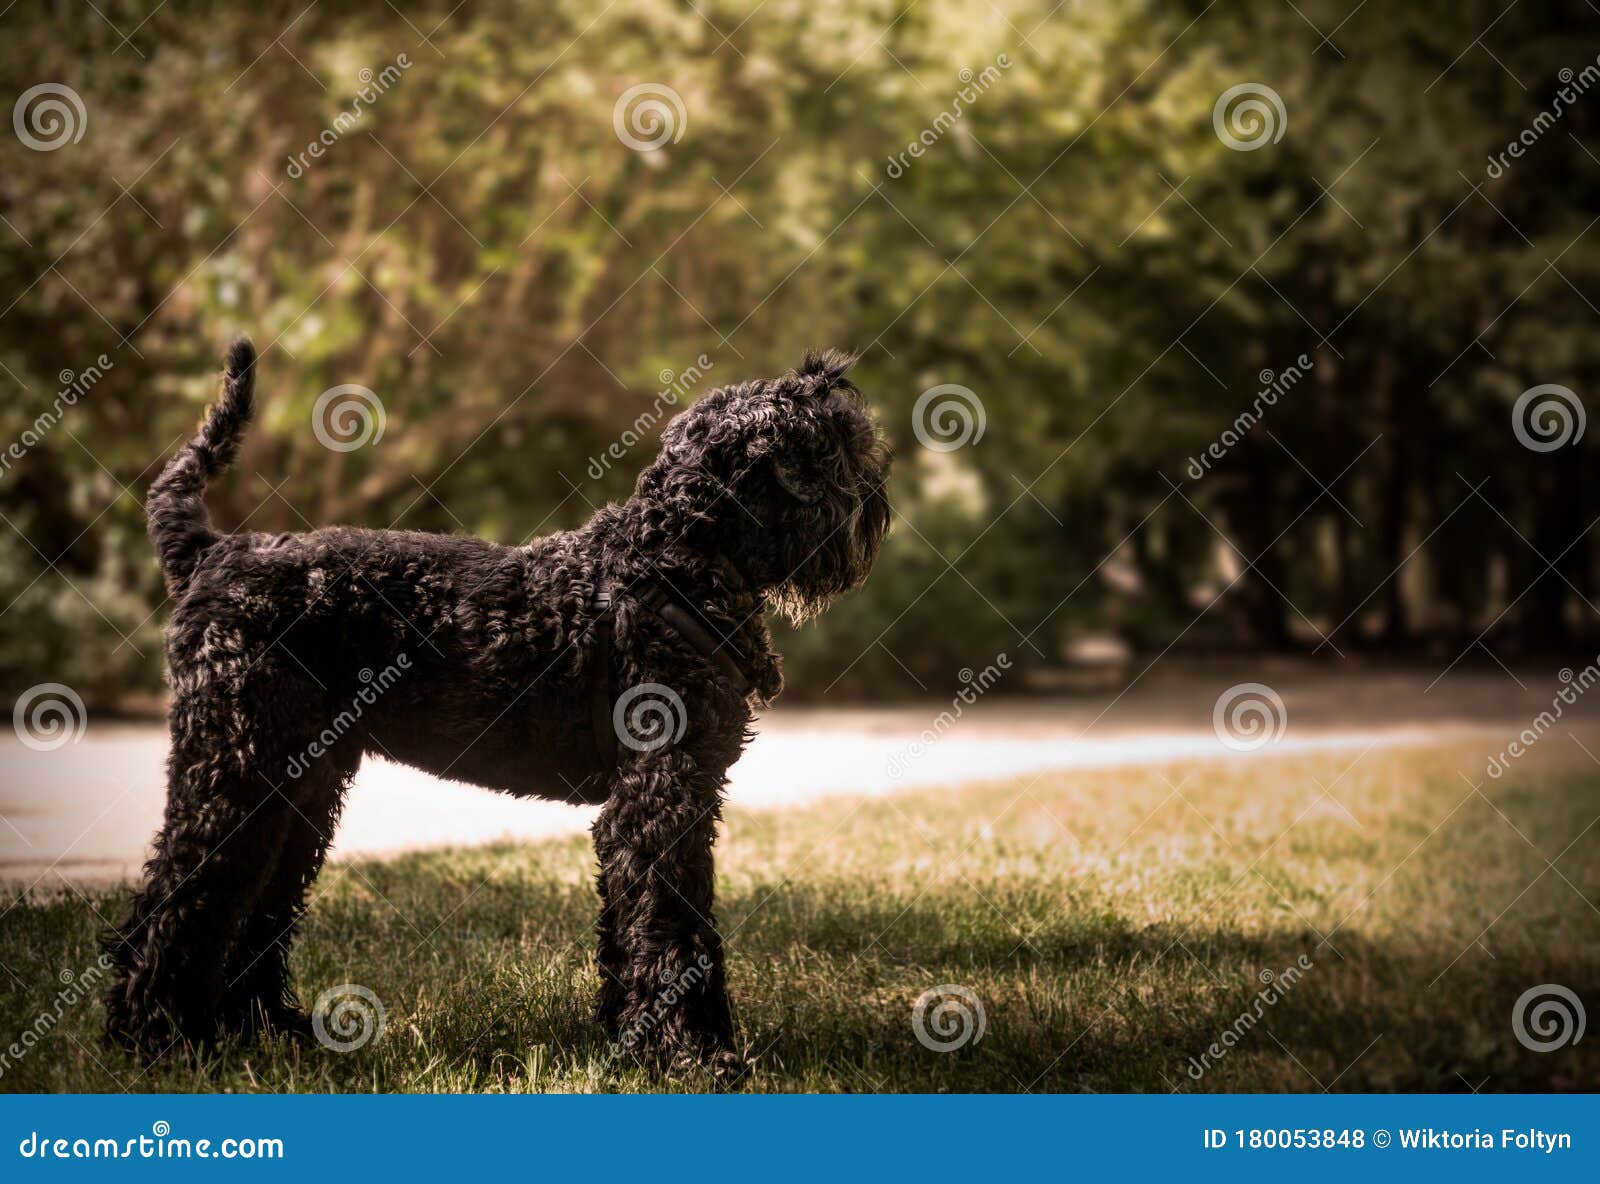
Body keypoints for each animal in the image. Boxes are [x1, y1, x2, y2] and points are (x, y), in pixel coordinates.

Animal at [106, 337, 896, 1068]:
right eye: (835, 444)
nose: (876, 497)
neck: (672, 561)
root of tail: (209, 555)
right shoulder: (662, 800)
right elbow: (677, 922)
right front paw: (697, 1055)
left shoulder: (647, 807)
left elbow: (630, 924)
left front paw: (628, 1040)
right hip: (237, 771)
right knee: (176, 898)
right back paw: (157, 1038)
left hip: (297, 790)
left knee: (252, 906)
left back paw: (263, 1030)